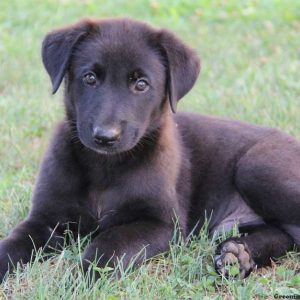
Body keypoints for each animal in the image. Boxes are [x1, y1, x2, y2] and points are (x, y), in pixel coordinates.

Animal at [0, 18, 300, 282]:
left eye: (141, 84)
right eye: (90, 78)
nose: (105, 137)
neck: (105, 167)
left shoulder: (162, 225)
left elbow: (110, 240)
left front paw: (83, 278)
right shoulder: (45, 219)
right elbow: (14, 243)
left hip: (255, 169)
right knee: (284, 235)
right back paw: (238, 255)